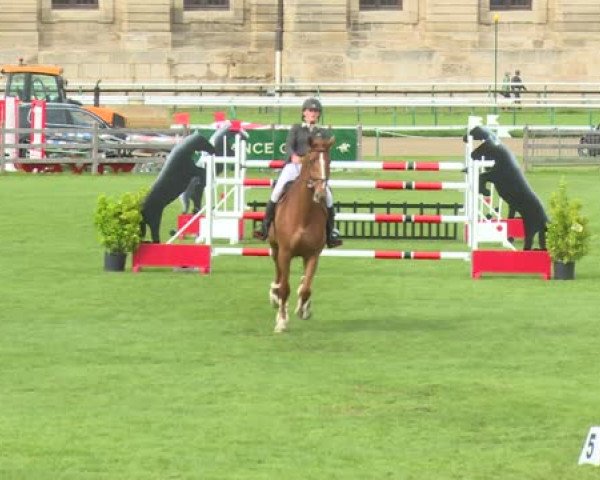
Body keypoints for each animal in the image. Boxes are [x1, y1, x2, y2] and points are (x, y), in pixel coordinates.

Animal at [268, 133, 336, 332]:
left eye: (329, 161)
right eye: (312, 160)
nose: (321, 194)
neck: (303, 215)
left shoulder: (313, 254)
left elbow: (306, 288)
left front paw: (303, 309)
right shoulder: (285, 253)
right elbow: (285, 288)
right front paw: (282, 321)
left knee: (303, 280)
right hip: (275, 248)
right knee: (279, 274)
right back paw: (275, 295)